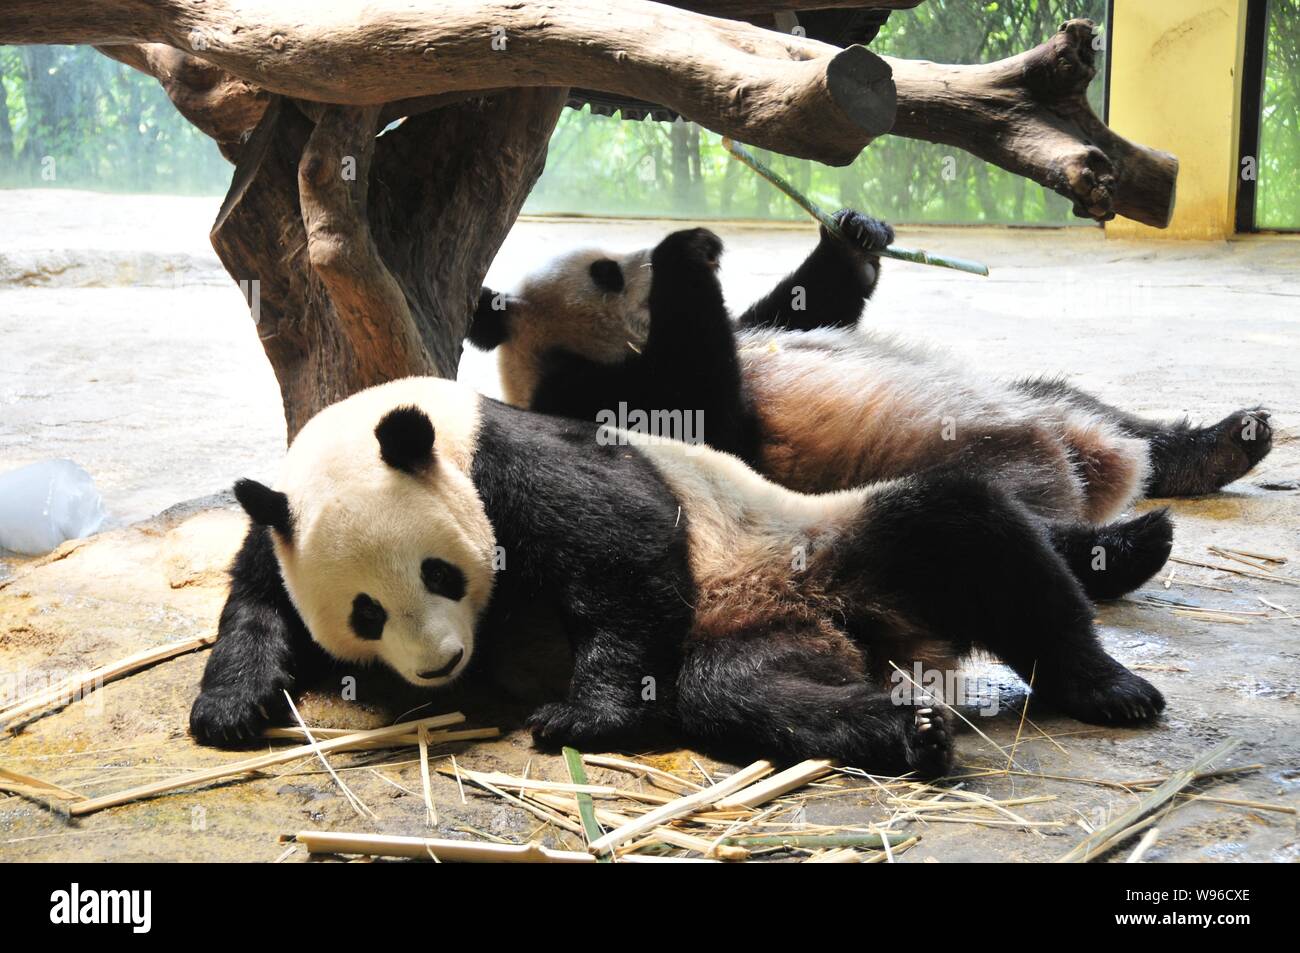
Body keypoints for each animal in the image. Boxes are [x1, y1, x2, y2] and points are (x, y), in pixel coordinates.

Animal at [195, 369, 1180, 774]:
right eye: (366, 612)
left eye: (440, 574)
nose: (440, 663)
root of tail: (852, 627)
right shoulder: (278, 518)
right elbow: (256, 605)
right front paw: (230, 707)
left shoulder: (506, 458)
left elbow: (626, 552)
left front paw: (580, 717)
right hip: (762, 630)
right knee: (739, 693)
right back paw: (907, 730)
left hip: (815, 536)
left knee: (969, 533)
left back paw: (1111, 680)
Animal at [467, 217, 1268, 582]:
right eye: (605, 271)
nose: (641, 258)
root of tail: (1093, 472)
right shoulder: (605, 396)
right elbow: (711, 418)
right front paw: (686, 253)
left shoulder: (754, 328)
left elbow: (799, 309)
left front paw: (855, 236)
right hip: (971, 464)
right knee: (1018, 523)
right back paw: (1130, 543)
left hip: (1039, 404)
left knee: (1090, 407)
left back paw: (1225, 444)